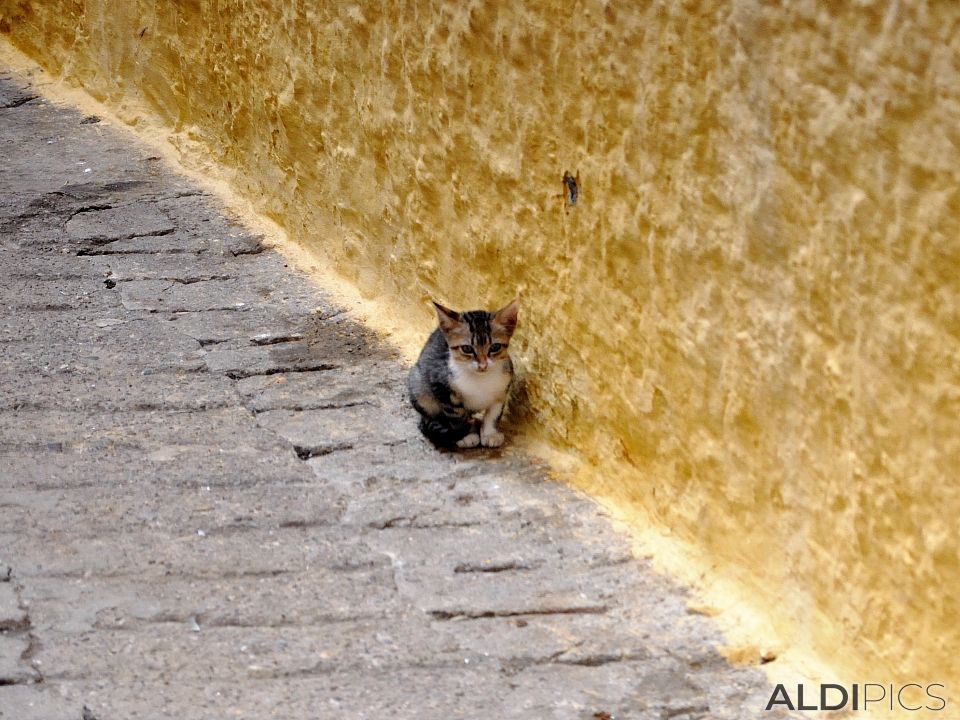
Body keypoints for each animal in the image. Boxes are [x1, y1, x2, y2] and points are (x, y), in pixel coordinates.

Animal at [408, 300, 520, 448]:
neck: (480, 380)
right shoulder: (442, 386)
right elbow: (457, 416)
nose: (483, 365)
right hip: (419, 386)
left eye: (495, 347)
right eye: (467, 349)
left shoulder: (503, 388)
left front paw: (489, 433)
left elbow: (494, 413)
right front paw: (467, 435)